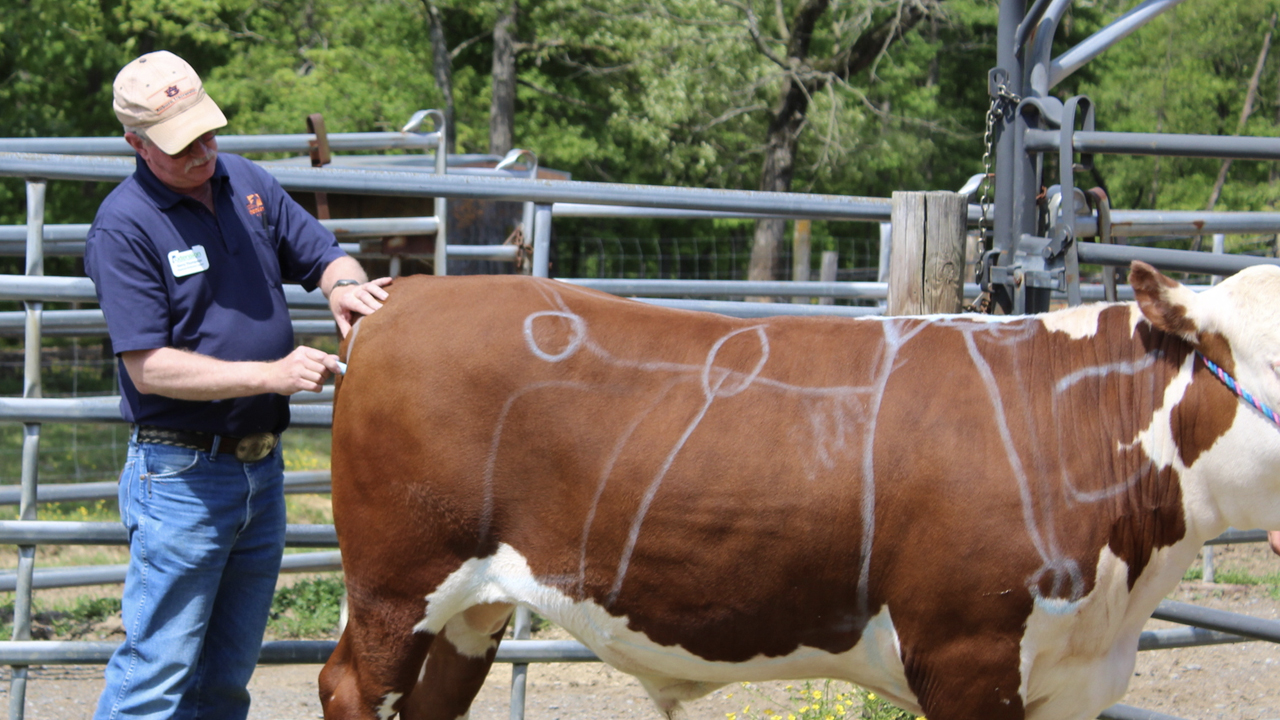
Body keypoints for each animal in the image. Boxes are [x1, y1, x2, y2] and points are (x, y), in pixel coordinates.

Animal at [317, 260, 1280, 717]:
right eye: (1272, 358)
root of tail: (409, 295)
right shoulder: (966, 655)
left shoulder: (1068, 680)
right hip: (397, 583)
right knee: (352, 690)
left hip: (471, 607)